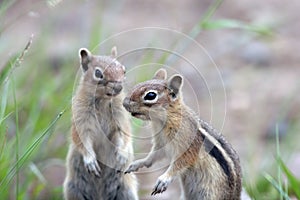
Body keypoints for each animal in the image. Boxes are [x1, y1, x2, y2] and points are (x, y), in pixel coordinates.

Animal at [64, 47, 138, 200]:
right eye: (98, 73)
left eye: (124, 70)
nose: (118, 87)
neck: (104, 100)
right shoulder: (81, 120)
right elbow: (82, 140)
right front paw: (91, 161)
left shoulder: (120, 119)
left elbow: (123, 135)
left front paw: (121, 156)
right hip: (74, 190)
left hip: (126, 192)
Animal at [123, 68, 243, 198]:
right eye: (137, 85)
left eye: (150, 95)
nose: (124, 103)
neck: (163, 121)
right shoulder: (161, 143)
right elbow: (153, 156)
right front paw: (138, 163)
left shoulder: (187, 145)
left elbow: (181, 162)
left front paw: (164, 179)